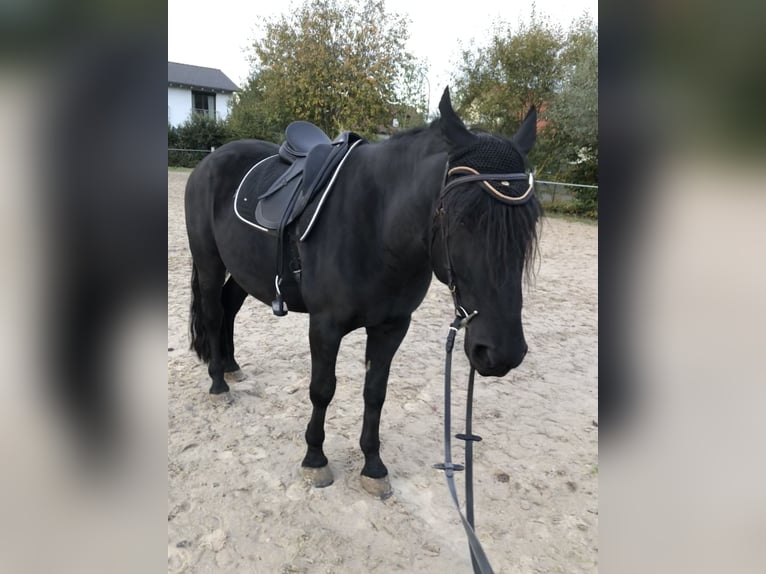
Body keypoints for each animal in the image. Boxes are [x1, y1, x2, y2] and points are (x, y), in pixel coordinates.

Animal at [186, 88, 544, 498]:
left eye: (530, 221)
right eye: (462, 217)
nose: (502, 353)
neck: (377, 225)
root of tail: (210, 161)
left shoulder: (392, 327)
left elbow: (375, 393)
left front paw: (373, 465)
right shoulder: (325, 326)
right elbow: (322, 389)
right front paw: (315, 459)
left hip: (245, 270)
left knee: (228, 308)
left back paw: (231, 367)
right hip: (210, 263)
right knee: (214, 313)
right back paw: (218, 383)